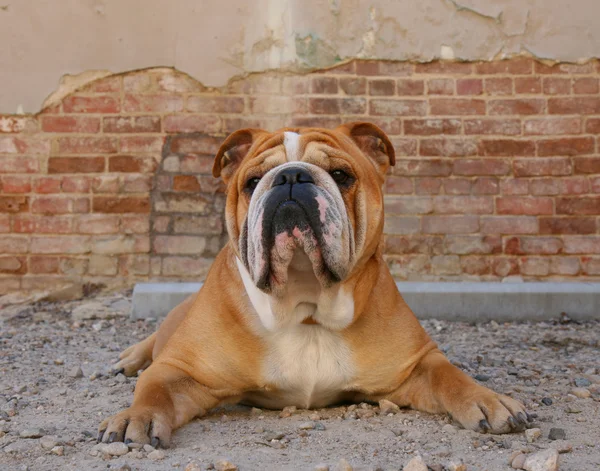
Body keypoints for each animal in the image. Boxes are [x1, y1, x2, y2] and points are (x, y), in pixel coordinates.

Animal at [98, 122, 528, 450]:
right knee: (154, 341)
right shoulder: (180, 370)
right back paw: (128, 359)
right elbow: (154, 390)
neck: (306, 306)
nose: (290, 176)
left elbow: (450, 376)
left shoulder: (417, 364)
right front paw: (135, 416)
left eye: (341, 175)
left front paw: (487, 400)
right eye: (252, 181)